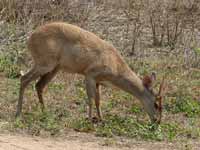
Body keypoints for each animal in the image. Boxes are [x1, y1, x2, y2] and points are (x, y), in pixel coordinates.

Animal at [16, 22, 164, 123]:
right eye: (156, 104)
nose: (157, 122)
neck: (115, 65)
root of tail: (31, 37)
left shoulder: (98, 81)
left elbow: (98, 100)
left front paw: (101, 119)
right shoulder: (89, 75)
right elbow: (91, 99)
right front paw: (89, 119)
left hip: (54, 69)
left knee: (38, 85)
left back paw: (45, 113)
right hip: (45, 65)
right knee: (24, 79)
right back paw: (18, 113)